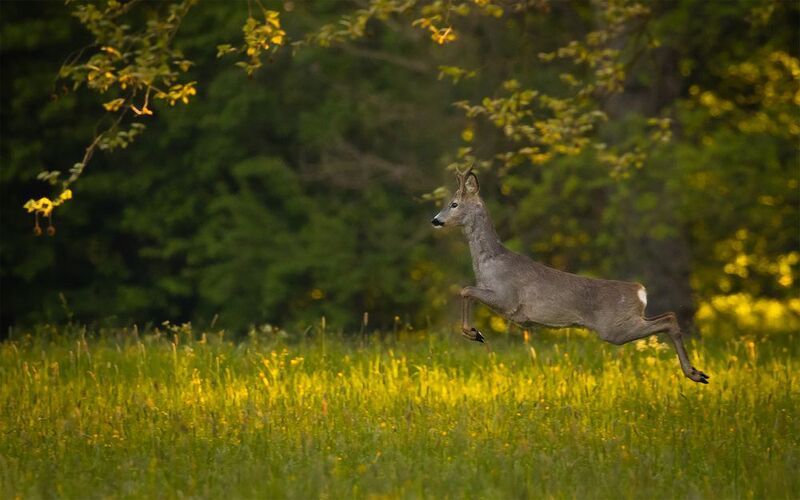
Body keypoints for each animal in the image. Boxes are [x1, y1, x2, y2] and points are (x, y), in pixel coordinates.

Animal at [431, 168, 709, 384]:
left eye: (454, 204)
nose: (435, 220)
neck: (490, 262)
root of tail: (639, 290)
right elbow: (466, 290)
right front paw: (473, 332)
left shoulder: (507, 299)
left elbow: (465, 289)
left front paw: (474, 333)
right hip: (626, 322)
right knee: (668, 316)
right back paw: (697, 373)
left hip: (614, 328)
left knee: (669, 319)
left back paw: (696, 374)